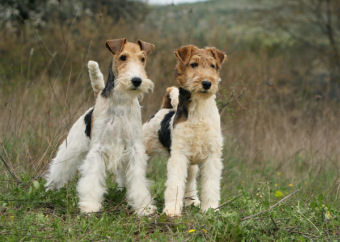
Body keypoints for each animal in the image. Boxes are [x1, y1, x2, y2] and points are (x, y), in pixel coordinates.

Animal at [142, 44, 227, 216]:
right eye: (193, 64)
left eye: (212, 66)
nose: (206, 83)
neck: (200, 110)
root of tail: (164, 109)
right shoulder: (179, 156)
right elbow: (175, 184)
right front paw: (172, 210)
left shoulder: (212, 156)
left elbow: (210, 185)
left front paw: (210, 209)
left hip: (192, 164)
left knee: (190, 182)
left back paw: (191, 201)